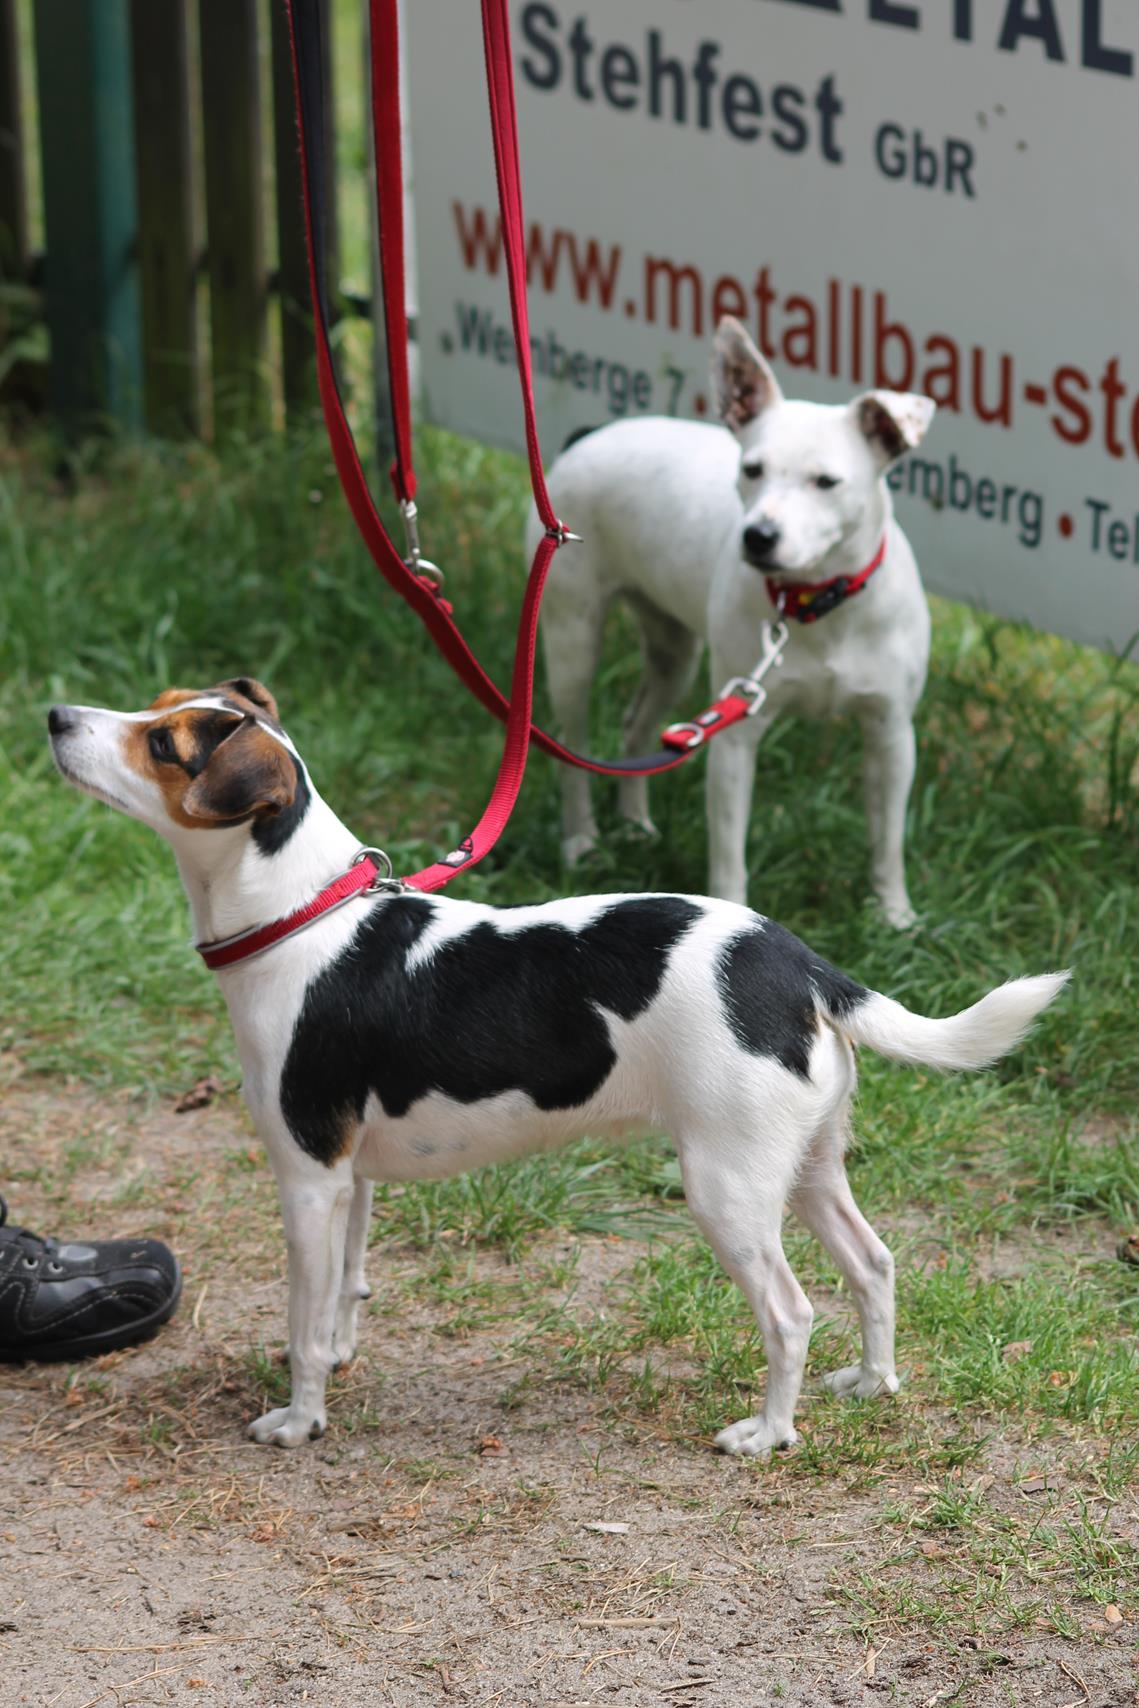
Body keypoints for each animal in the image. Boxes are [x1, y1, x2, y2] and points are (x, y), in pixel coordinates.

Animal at [51, 679, 1072, 1455]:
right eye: (158, 708)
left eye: (164, 743)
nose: (57, 714)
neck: (301, 916)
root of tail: (797, 963)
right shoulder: (352, 1178)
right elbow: (345, 1288)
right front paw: (340, 1358)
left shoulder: (306, 1178)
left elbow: (302, 1321)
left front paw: (301, 1419)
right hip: (809, 1164)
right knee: (873, 1265)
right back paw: (870, 1380)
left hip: (728, 1185)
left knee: (788, 1313)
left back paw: (767, 1434)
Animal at [529, 314, 942, 929]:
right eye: (752, 469)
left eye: (826, 482)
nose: (759, 536)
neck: (815, 606)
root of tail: (589, 436)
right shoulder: (734, 742)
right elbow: (729, 853)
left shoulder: (891, 735)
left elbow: (887, 840)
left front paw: (894, 915)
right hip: (572, 643)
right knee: (571, 748)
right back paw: (582, 839)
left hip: (673, 653)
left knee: (635, 727)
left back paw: (633, 823)